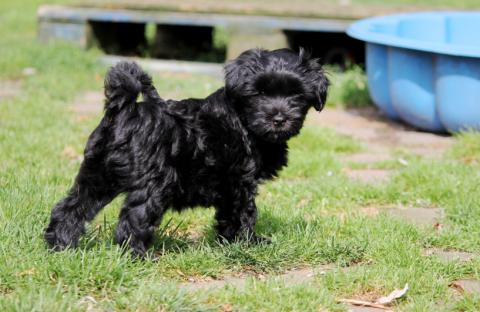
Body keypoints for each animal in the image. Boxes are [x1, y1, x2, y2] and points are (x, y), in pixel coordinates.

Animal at [45, 48, 328, 256]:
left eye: (296, 94)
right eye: (259, 93)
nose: (278, 118)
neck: (242, 118)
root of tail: (125, 111)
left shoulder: (228, 186)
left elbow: (227, 216)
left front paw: (229, 243)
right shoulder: (241, 182)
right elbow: (244, 214)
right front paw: (249, 244)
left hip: (97, 174)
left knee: (70, 208)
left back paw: (60, 246)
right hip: (153, 184)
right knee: (133, 220)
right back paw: (138, 256)